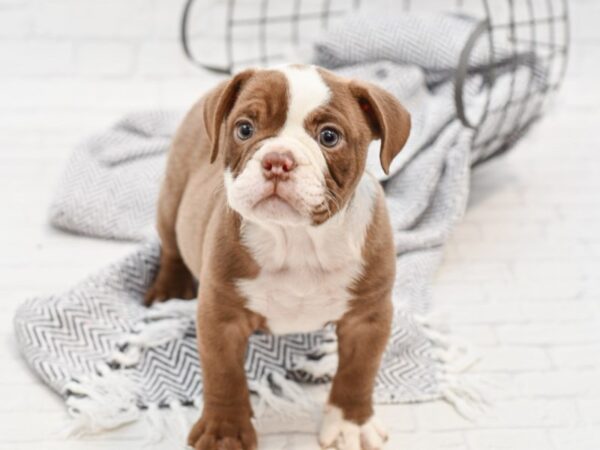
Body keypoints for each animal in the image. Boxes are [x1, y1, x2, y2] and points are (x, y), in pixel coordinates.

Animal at [144, 64, 412, 450]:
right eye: (244, 129)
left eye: (329, 137)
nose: (278, 160)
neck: (297, 240)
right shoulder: (220, 316)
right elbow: (223, 374)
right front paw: (224, 431)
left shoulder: (367, 317)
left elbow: (358, 371)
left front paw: (350, 424)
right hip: (172, 195)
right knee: (170, 245)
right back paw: (169, 288)